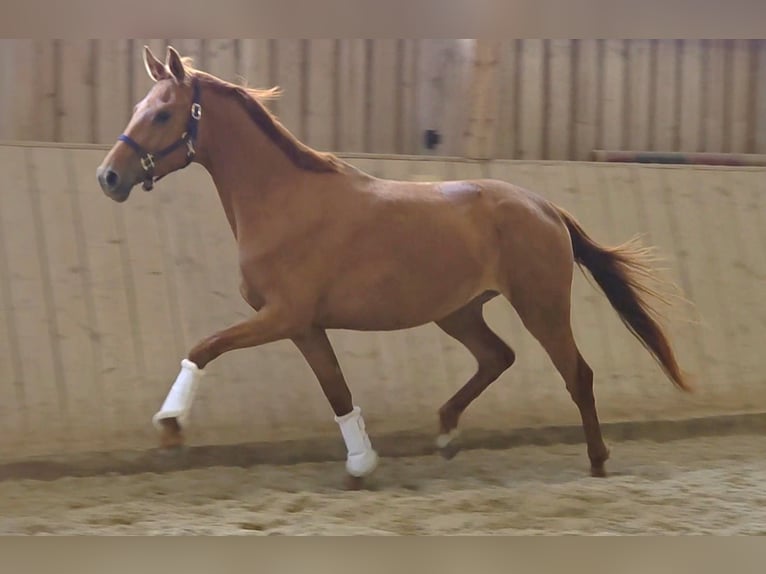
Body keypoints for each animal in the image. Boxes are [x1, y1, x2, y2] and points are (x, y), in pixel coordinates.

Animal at [96, 45, 690, 487]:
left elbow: (204, 347)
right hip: (458, 312)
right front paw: (361, 465)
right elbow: (337, 390)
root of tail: (543, 206)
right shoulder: (304, 326)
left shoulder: (282, 317)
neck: (282, 199)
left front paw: (171, 427)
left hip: (540, 306)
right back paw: (446, 433)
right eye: (137, 107)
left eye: (162, 113)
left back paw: (597, 460)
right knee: (497, 357)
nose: (109, 177)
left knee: (577, 374)